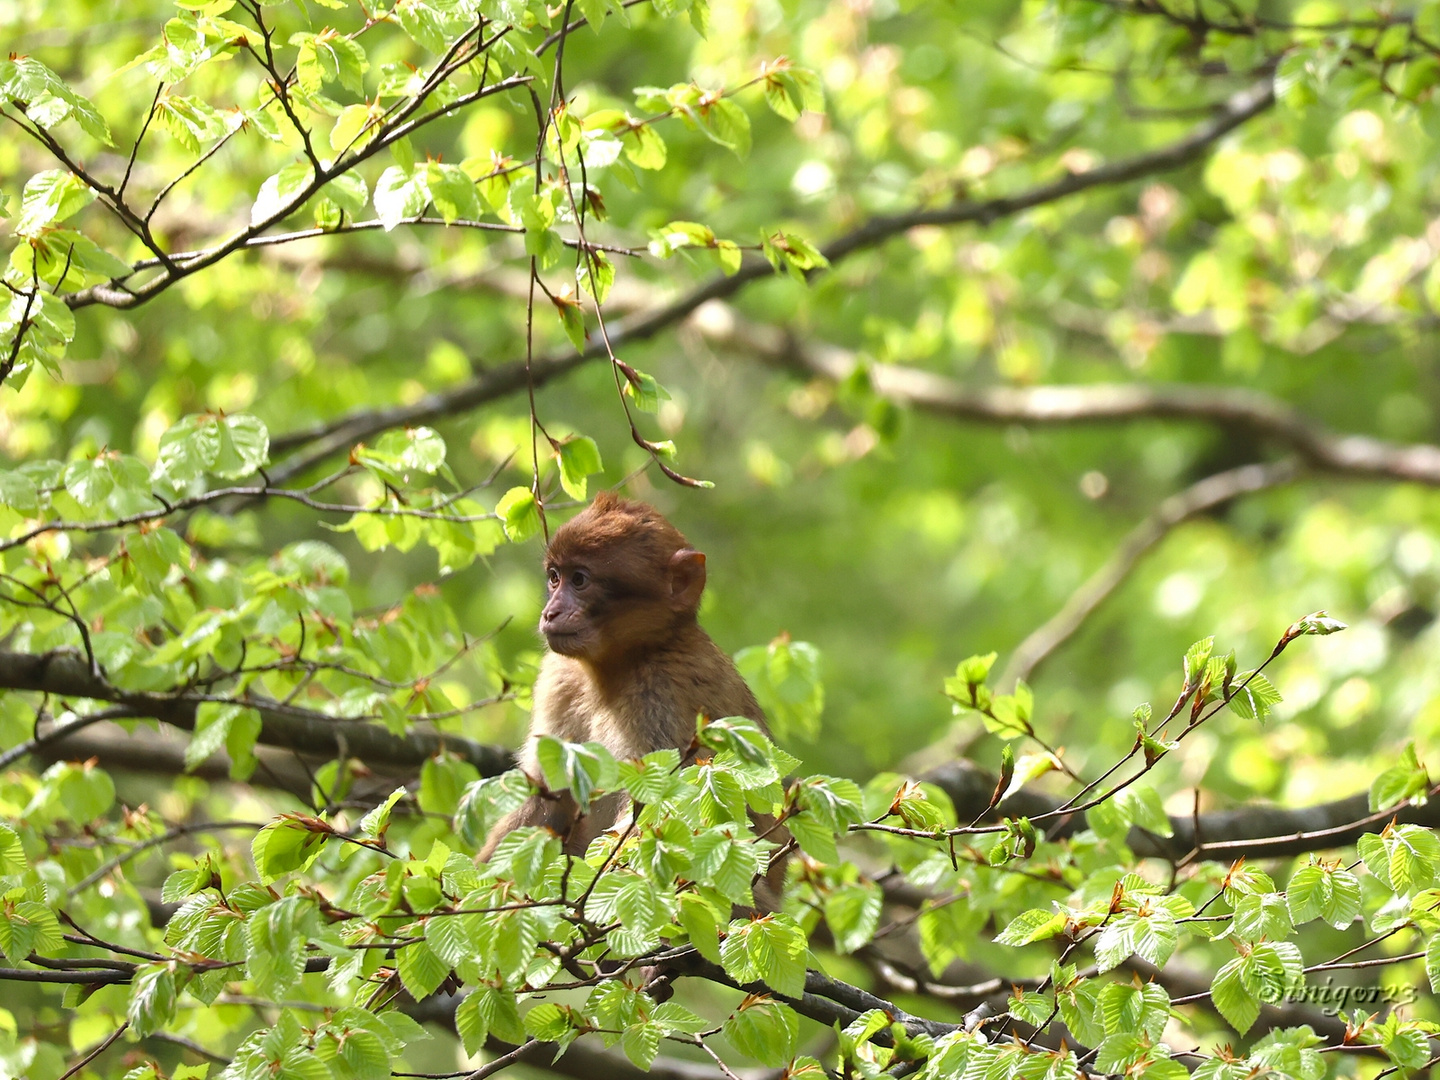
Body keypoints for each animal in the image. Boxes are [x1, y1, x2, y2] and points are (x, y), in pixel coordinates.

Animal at [480, 495, 777, 869]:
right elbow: (546, 796)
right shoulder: (560, 678)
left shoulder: (665, 696)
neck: (619, 667)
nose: (550, 612)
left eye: (580, 580)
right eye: (554, 577)